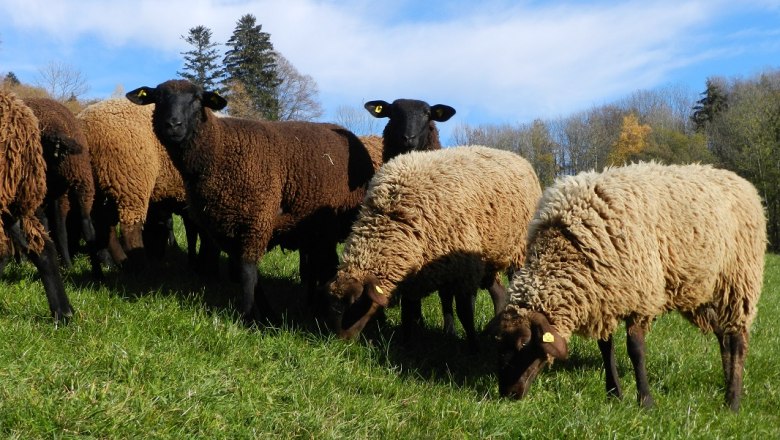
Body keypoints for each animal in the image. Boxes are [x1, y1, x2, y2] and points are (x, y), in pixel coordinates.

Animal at [21, 97, 103, 277]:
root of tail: (57, 131)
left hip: (41, 185)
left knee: (47, 223)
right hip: (79, 181)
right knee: (79, 224)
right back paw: (86, 270)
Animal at [76, 98, 197, 270]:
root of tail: (85, 126)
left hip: (98, 185)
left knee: (102, 224)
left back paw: (118, 262)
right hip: (130, 181)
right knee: (129, 230)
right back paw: (141, 266)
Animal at [126, 79, 377, 322]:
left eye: (197, 99)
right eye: (158, 98)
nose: (173, 125)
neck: (219, 149)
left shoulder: (257, 219)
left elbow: (247, 273)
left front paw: (246, 319)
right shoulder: (222, 227)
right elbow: (248, 274)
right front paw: (268, 315)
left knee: (325, 265)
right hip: (318, 230)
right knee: (321, 264)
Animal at [328, 145, 542, 350]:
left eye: (356, 304)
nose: (341, 341)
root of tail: (518, 157)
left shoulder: (465, 271)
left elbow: (465, 312)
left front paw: (474, 348)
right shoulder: (418, 274)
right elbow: (408, 310)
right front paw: (406, 344)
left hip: (518, 252)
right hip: (487, 259)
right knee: (498, 292)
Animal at [495, 162, 766, 412]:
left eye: (523, 344)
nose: (507, 394)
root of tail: (742, 182)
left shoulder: (640, 298)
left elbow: (635, 349)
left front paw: (645, 401)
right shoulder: (604, 297)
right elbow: (606, 347)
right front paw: (613, 393)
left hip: (740, 281)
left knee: (738, 340)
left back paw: (732, 401)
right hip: (706, 289)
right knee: (724, 336)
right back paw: (728, 382)